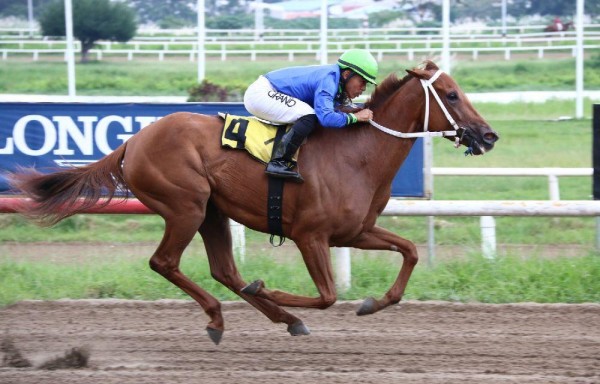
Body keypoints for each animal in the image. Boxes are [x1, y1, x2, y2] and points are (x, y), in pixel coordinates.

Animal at [8, 60, 496, 344]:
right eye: (452, 95)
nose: (489, 135)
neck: (356, 155)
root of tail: (133, 141)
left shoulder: (355, 232)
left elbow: (409, 251)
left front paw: (373, 302)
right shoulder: (310, 235)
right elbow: (326, 296)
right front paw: (269, 290)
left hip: (212, 212)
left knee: (223, 269)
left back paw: (270, 317)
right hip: (185, 207)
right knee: (165, 262)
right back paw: (226, 316)